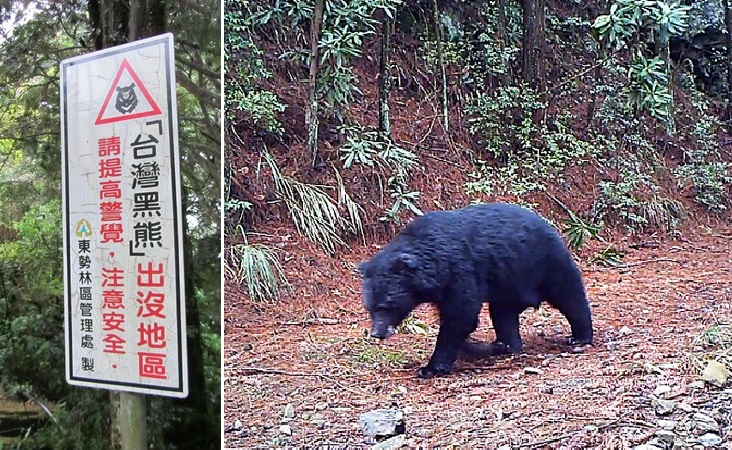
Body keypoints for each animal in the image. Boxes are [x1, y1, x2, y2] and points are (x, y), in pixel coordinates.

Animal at [360, 202, 596, 378]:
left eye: (386, 305)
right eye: (370, 308)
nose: (377, 333)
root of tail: (549, 225)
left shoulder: (460, 271)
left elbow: (461, 316)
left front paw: (431, 367)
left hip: (545, 263)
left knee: (569, 294)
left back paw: (579, 336)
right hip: (507, 283)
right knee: (503, 315)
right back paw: (502, 345)